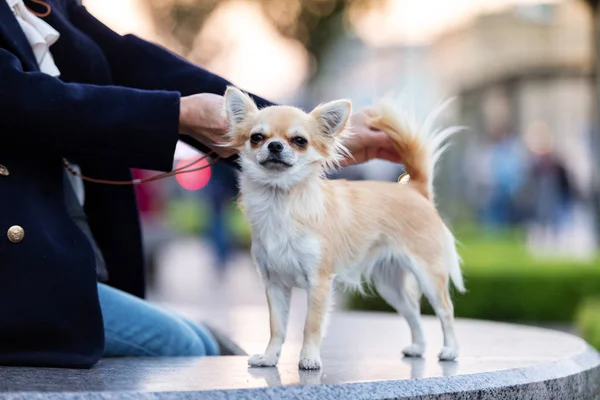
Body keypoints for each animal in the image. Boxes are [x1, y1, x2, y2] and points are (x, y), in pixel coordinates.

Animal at [223, 86, 466, 370]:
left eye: (300, 141)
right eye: (257, 138)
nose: (274, 145)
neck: (280, 201)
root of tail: (415, 189)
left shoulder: (319, 281)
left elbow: (311, 325)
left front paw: (309, 358)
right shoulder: (274, 283)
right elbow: (277, 327)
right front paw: (269, 357)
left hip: (428, 274)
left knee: (445, 311)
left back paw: (450, 350)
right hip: (389, 285)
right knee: (413, 312)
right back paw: (418, 347)